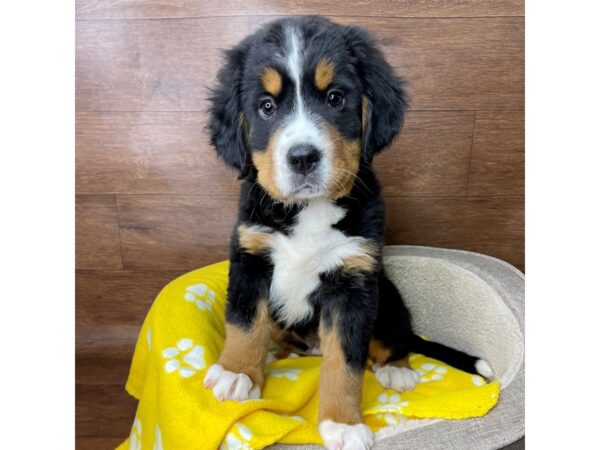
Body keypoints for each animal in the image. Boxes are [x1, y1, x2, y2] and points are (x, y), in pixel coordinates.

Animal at [204, 14, 494, 450]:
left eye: (335, 98)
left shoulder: (353, 283)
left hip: (386, 297)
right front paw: (237, 371)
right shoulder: (251, 257)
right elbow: (244, 323)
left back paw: (396, 369)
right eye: (266, 107)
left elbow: (346, 360)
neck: (309, 210)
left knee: (396, 338)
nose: (303, 157)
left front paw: (342, 423)